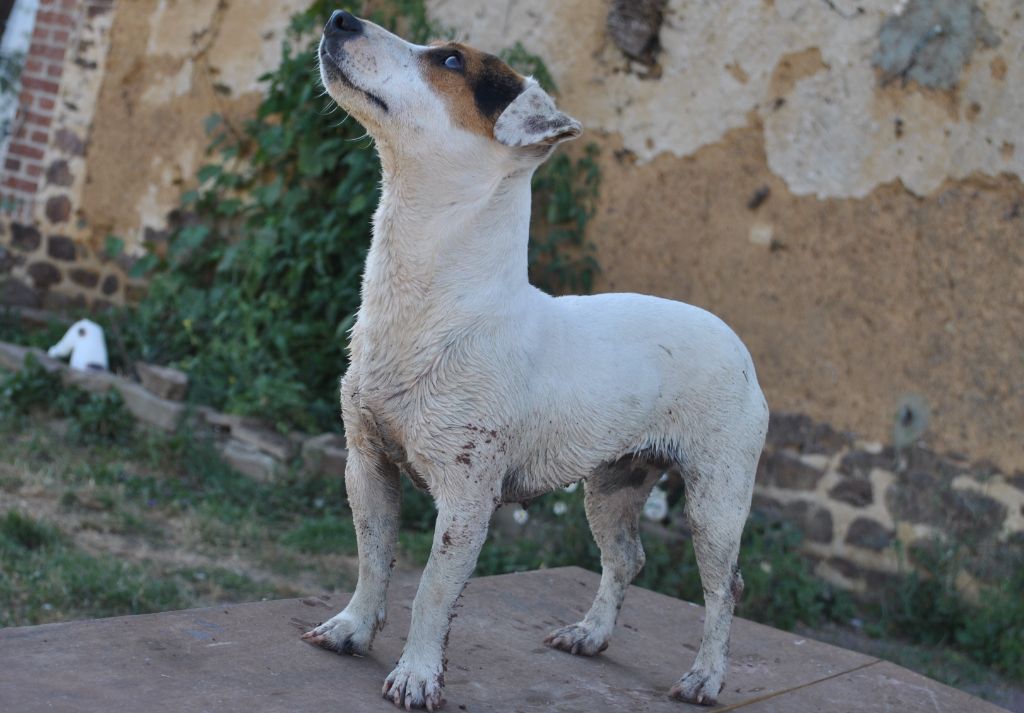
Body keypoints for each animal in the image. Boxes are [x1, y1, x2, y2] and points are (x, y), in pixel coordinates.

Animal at [303, 9, 770, 708]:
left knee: (724, 588)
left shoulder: (466, 497)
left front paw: (417, 674)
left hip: (717, 501)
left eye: (450, 61)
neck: (432, 306)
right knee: (626, 559)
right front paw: (352, 628)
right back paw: (591, 635)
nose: (339, 17)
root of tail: (736, 342)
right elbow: (372, 559)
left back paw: (706, 677)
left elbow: (432, 592)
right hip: (612, 484)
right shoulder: (368, 464)